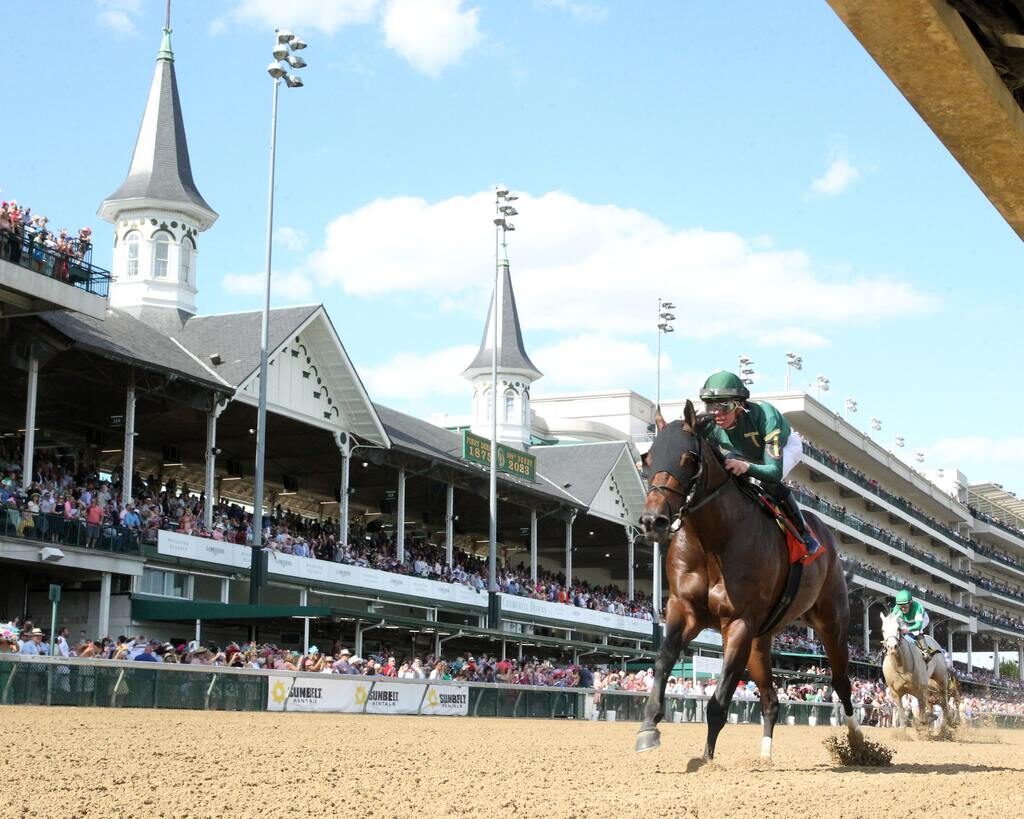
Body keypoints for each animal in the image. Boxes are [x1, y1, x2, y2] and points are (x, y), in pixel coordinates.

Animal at [634, 403, 860, 761]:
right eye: (647, 457)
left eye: (688, 458)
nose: (652, 521)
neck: (713, 541)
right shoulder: (684, 609)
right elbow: (664, 657)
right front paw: (648, 728)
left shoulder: (738, 622)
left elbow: (719, 700)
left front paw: (707, 760)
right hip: (760, 641)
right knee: (771, 700)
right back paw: (765, 754)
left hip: (831, 623)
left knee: (841, 683)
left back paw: (858, 743)